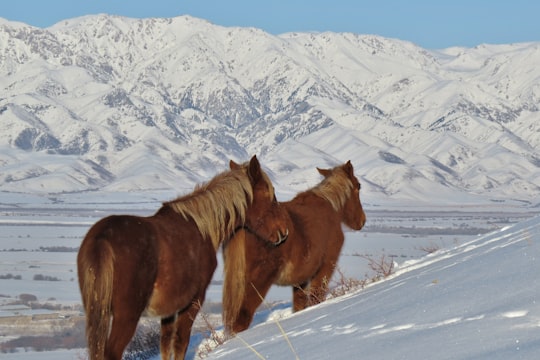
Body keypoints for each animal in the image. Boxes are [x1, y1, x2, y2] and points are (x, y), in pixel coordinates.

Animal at [76, 155, 288, 360]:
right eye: (271, 196)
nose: (284, 233)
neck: (201, 228)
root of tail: (101, 237)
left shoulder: (169, 312)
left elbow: (165, 345)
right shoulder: (193, 302)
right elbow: (181, 343)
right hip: (126, 316)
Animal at [221, 161, 364, 334]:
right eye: (358, 186)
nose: (362, 221)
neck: (330, 207)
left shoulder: (300, 281)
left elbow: (299, 306)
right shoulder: (325, 268)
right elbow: (316, 298)